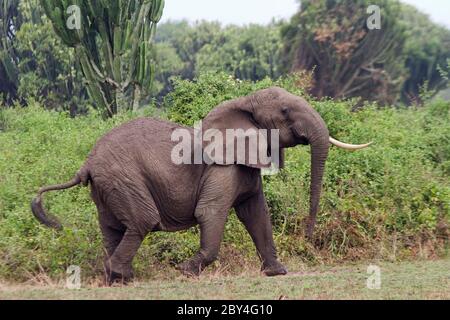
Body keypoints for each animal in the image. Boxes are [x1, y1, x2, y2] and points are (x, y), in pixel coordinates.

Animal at [30, 86, 370, 284]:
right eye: (285, 112)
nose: (308, 238)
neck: (242, 103)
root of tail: (86, 163)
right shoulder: (222, 168)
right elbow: (211, 213)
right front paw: (185, 271)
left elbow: (256, 214)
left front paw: (277, 272)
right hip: (122, 179)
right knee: (142, 221)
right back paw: (123, 275)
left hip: (108, 185)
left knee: (113, 228)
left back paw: (117, 279)